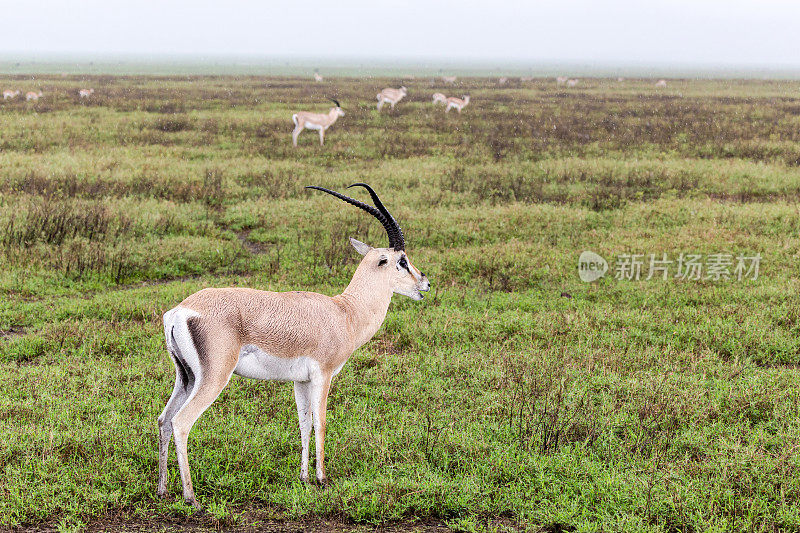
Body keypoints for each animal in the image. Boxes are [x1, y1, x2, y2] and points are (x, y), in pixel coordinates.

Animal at [158, 183, 432, 508]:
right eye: (402, 260)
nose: (425, 283)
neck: (345, 312)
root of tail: (180, 311)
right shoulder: (323, 375)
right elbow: (322, 422)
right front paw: (322, 479)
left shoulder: (300, 381)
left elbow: (304, 424)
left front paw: (304, 478)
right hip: (213, 378)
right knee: (181, 422)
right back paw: (191, 498)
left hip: (185, 377)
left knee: (164, 419)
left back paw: (162, 490)